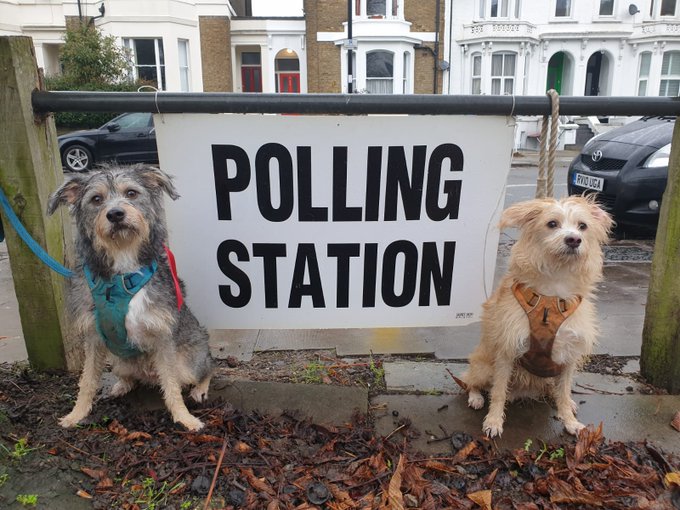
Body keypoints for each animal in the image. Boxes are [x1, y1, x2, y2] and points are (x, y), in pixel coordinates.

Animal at [48, 164, 212, 430]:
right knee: (129, 377)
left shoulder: (162, 335)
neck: (123, 266)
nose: (115, 214)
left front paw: (184, 418)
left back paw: (200, 389)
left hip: (189, 361)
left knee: (205, 368)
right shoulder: (93, 337)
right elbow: (87, 380)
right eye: (96, 199)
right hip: (118, 361)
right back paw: (120, 386)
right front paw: (76, 414)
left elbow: (172, 386)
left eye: (131, 193)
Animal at [462, 195, 612, 438]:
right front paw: (493, 421)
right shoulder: (507, 350)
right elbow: (498, 392)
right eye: (552, 223)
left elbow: (564, 391)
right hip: (483, 367)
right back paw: (475, 397)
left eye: (583, 226)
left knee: (557, 390)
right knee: (472, 382)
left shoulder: (569, 356)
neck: (552, 294)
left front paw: (570, 421)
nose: (574, 239)